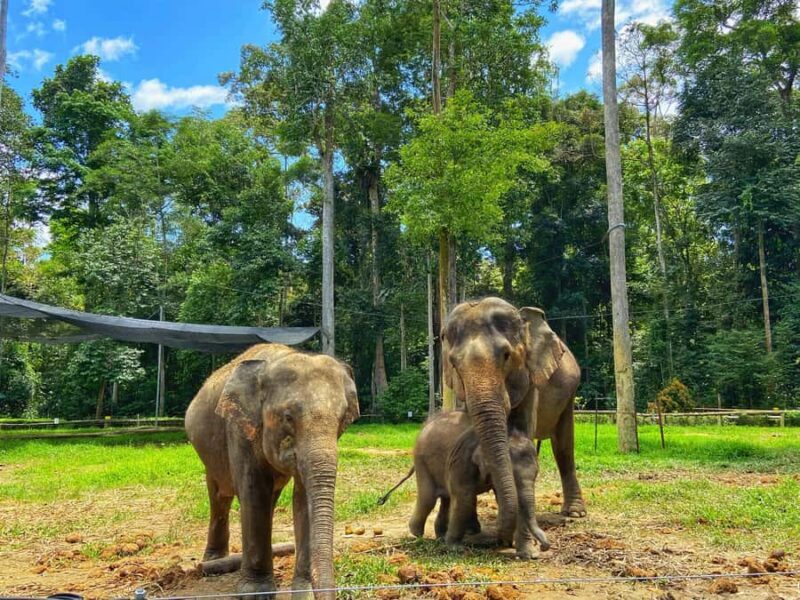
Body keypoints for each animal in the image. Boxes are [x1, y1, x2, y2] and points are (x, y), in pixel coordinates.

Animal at [185, 343, 359, 600]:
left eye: (342, 419)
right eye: (288, 417)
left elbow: (302, 499)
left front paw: (304, 592)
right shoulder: (239, 429)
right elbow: (253, 492)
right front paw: (255, 593)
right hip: (209, 454)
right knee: (220, 496)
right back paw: (213, 562)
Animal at [406, 411, 549, 558]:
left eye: (537, 473)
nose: (544, 546)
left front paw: (529, 554)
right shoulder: (462, 460)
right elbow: (464, 497)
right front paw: (456, 549)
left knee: (446, 499)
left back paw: (440, 536)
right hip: (421, 460)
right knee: (428, 498)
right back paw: (417, 533)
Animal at [442, 297, 585, 544]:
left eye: (506, 355)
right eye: (454, 363)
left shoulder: (531, 379)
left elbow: (524, 429)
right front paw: (471, 529)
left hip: (570, 393)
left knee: (564, 446)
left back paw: (574, 513)